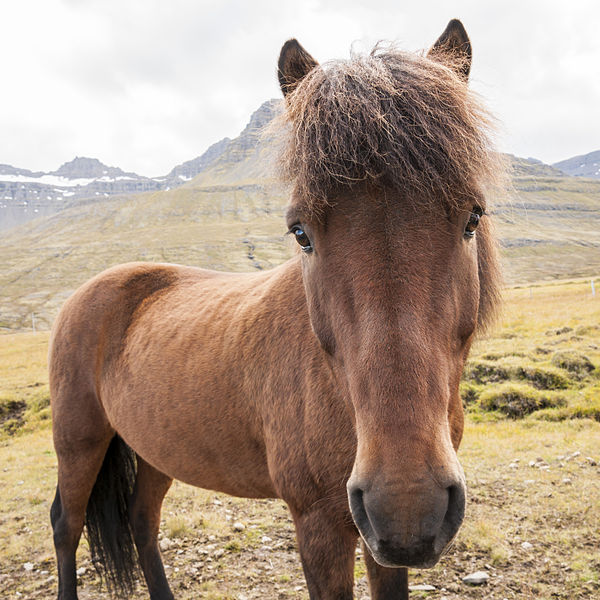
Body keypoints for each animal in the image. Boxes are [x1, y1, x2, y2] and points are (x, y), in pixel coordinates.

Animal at [50, 18, 502, 600]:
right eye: (300, 232)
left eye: (473, 217)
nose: (407, 502)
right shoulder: (318, 524)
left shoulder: (382, 543)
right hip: (79, 441)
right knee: (67, 525)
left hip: (153, 448)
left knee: (140, 521)